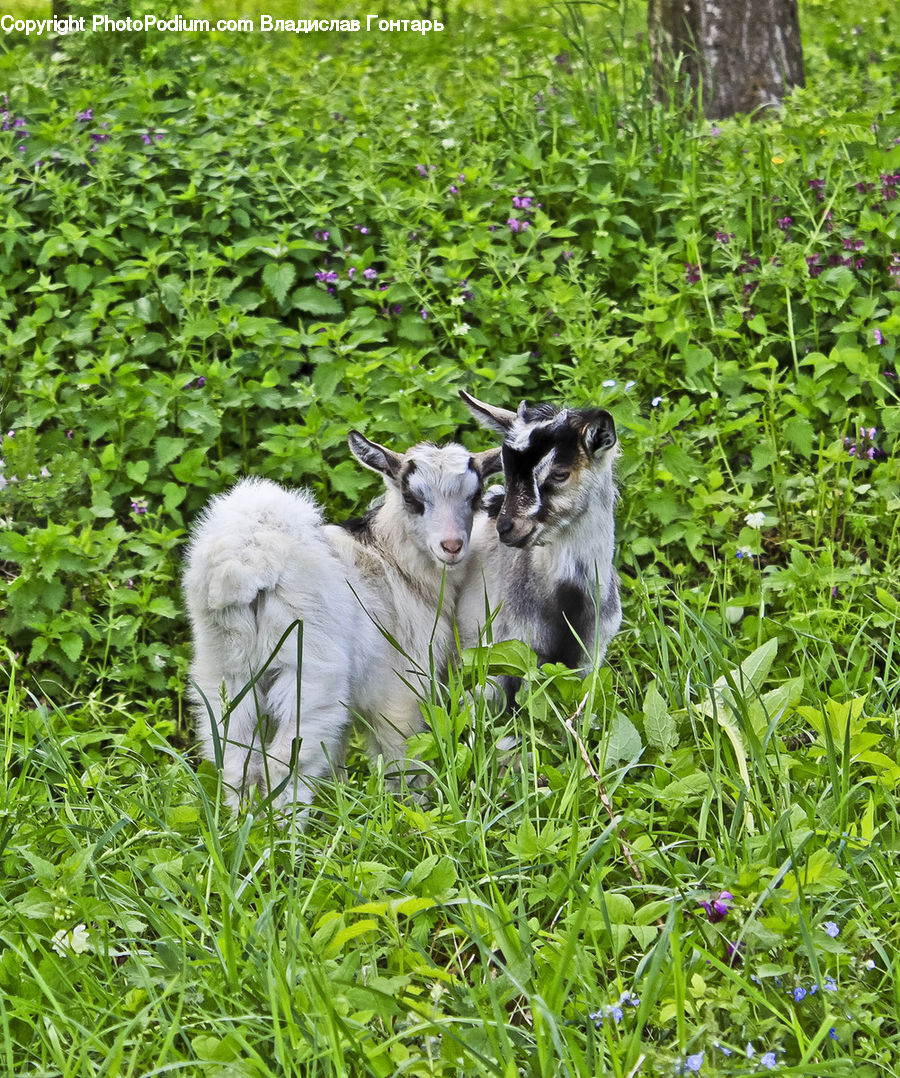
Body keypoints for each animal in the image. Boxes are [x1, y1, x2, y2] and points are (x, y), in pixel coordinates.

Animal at [183, 431, 502, 815]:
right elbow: (402, 756)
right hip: (310, 670)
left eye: (475, 496)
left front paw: (338, 808)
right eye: (412, 498)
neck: (390, 560)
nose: (452, 546)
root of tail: (247, 557)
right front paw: (410, 812)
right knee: (284, 761)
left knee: (235, 759)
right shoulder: (400, 686)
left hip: (225, 668)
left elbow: (336, 757)